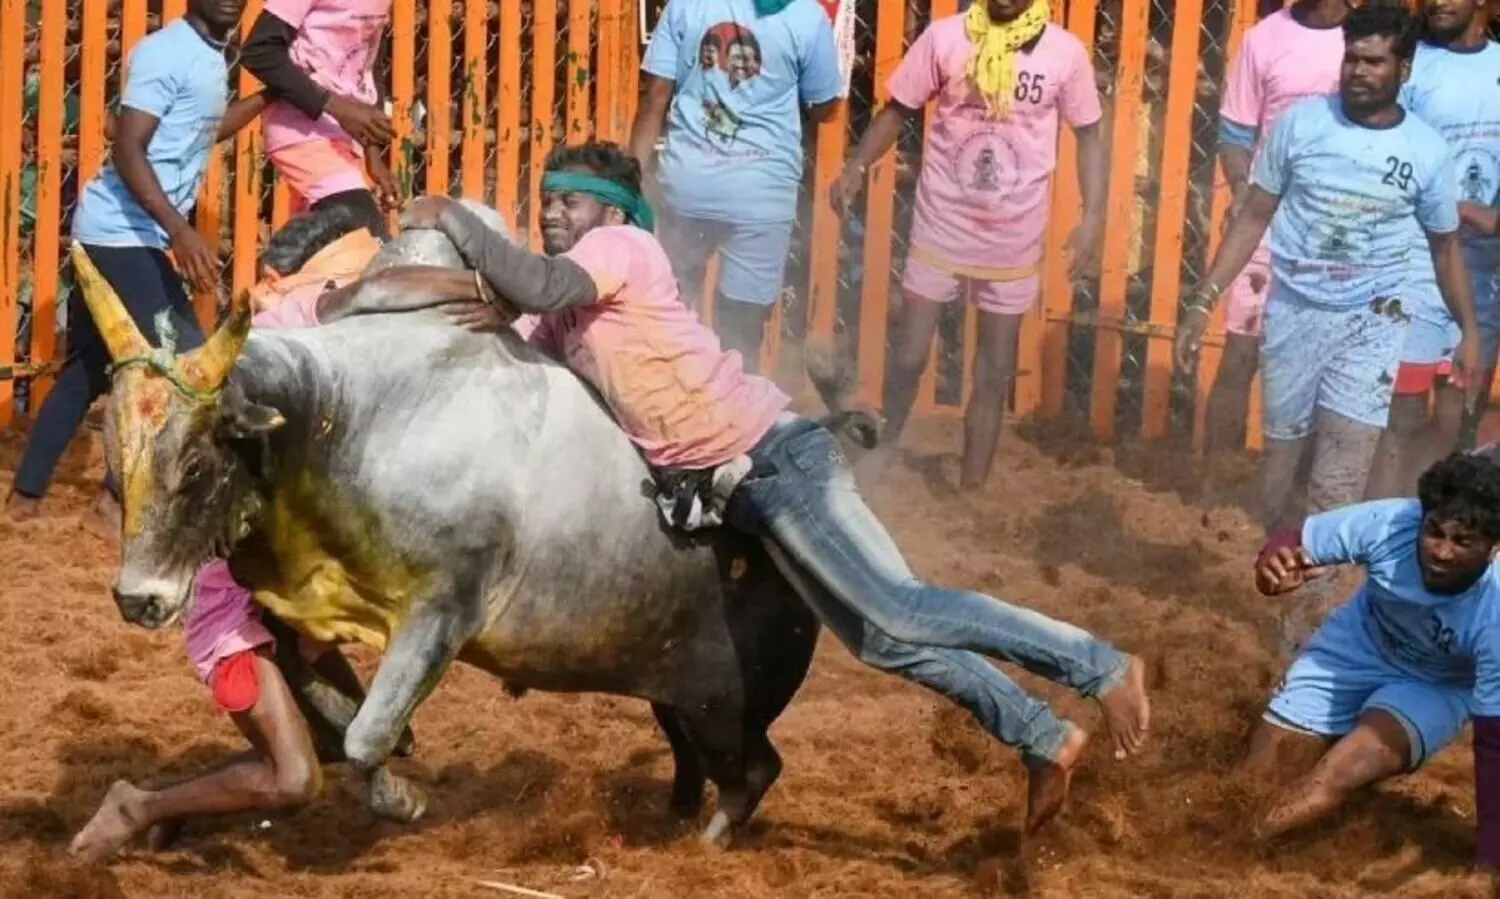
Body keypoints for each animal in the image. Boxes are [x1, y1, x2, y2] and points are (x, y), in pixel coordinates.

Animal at [68, 212, 875, 846]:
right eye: (113, 469)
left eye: (196, 465)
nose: (137, 598)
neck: (338, 418)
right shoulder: (290, 612)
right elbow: (347, 724)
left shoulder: (445, 610)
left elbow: (364, 735)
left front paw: (401, 798)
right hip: (676, 691)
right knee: (695, 759)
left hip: (729, 702)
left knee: (754, 769)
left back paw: (705, 841)